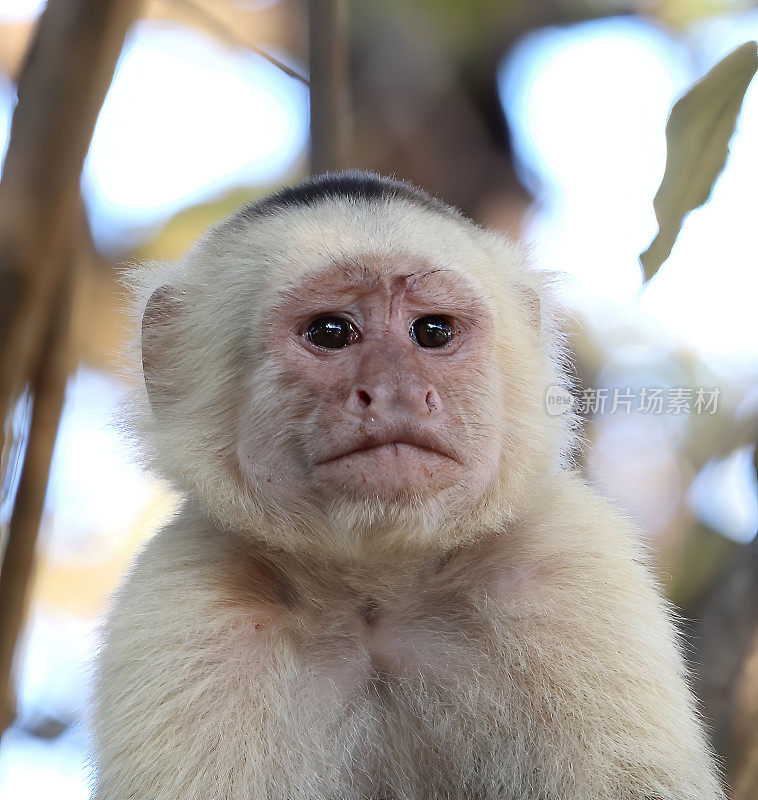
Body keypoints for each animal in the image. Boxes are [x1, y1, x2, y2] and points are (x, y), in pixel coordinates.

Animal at [92, 172, 728, 796]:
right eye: (331, 331)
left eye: (433, 331)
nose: (395, 388)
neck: (378, 597)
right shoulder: (189, 599)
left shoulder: (568, 565)